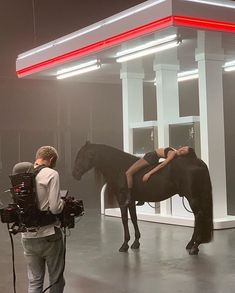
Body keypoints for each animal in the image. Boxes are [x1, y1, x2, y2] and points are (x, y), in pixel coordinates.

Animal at [73, 141, 213, 253]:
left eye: (81, 156)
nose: (75, 174)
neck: (119, 167)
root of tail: (197, 162)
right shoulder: (131, 201)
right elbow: (134, 218)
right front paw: (136, 243)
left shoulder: (122, 200)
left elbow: (124, 219)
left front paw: (124, 245)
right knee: (197, 217)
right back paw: (191, 244)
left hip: (192, 198)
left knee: (199, 216)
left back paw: (195, 246)